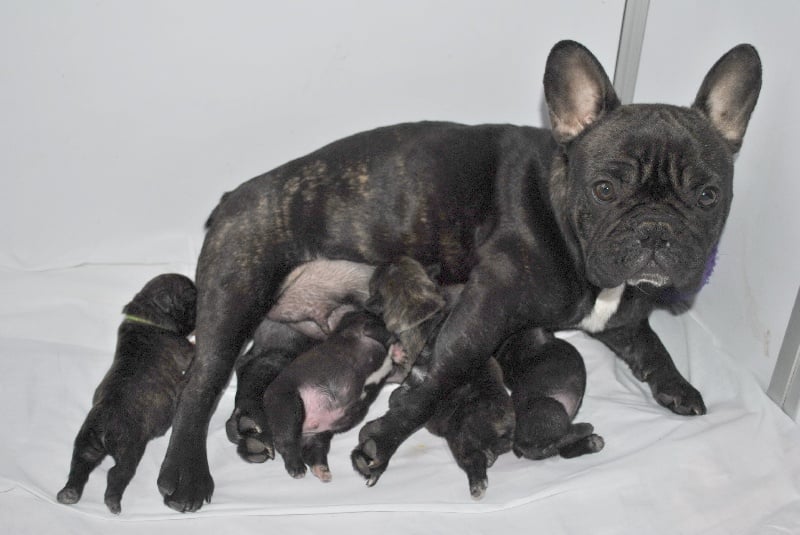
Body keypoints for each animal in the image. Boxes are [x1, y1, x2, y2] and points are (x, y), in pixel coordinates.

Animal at [57, 276, 195, 516]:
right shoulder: (184, 350)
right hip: (130, 448)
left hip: (86, 441)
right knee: (118, 473)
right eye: (191, 301)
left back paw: (69, 494)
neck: (145, 315)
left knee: (79, 465)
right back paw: (113, 502)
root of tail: (103, 425)